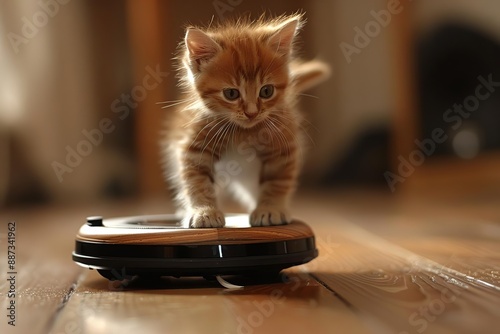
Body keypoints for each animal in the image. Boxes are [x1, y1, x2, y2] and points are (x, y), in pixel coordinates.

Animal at [162, 13, 330, 227]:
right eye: (231, 94)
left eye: (266, 91)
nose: (252, 113)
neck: (243, 131)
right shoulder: (196, 145)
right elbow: (197, 181)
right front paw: (204, 211)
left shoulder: (282, 146)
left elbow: (277, 181)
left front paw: (270, 208)